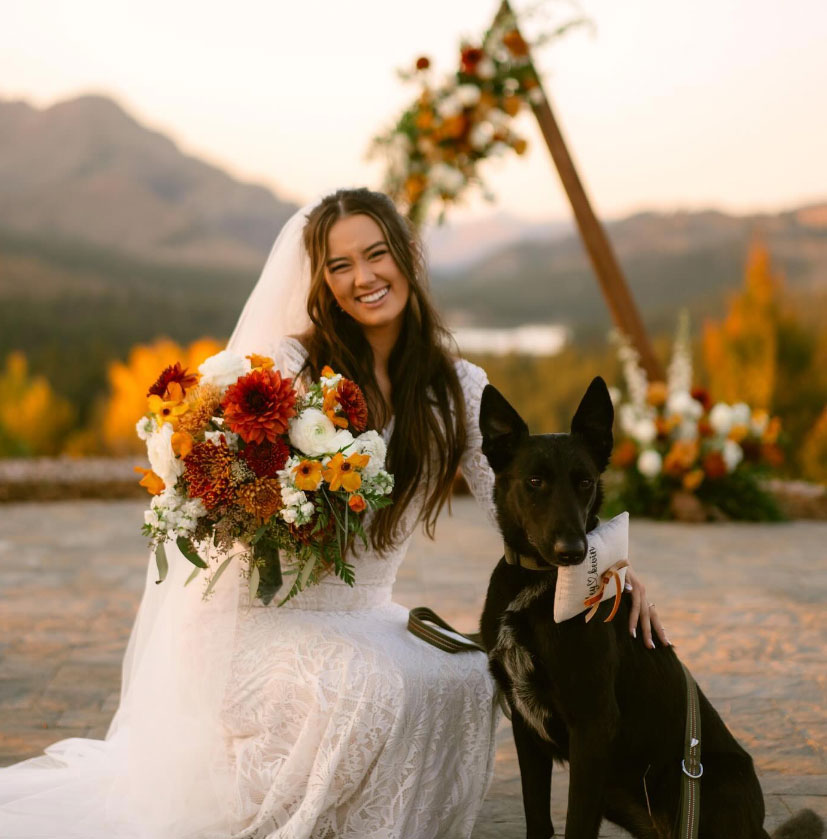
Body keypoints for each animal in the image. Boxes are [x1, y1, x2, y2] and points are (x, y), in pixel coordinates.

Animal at [478, 378, 820, 839]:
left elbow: (575, 824)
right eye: (534, 481)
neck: (539, 585)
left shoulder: (593, 726)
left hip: (707, 786)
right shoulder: (525, 727)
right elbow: (538, 819)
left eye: (585, 482)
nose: (573, 552)